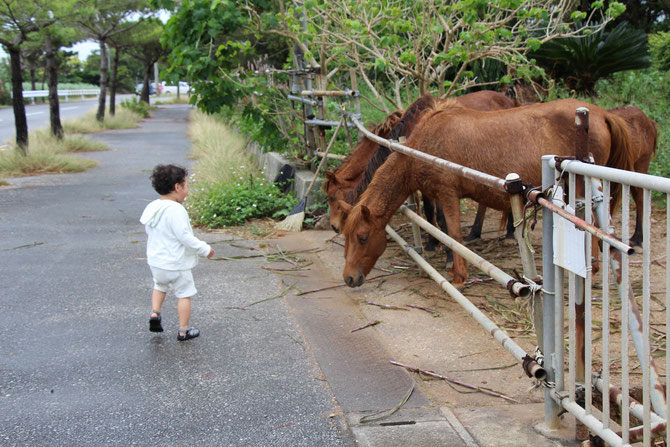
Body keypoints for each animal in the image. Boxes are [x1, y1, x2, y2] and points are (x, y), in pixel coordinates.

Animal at [342, 98, 636, 288]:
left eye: (363, 237)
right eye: (346, 236)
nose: (349, 278)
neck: (424, 145)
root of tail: (603, 114)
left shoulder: (447, 193)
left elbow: (453, 234)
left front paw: (458, 277)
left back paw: (593, 272)